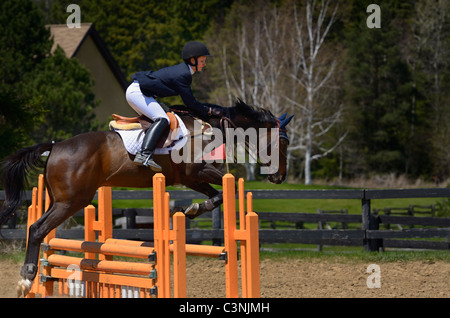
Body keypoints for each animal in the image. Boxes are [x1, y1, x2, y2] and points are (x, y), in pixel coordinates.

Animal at [0, 99, 296, 296]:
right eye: (284, 142)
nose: (280, 177)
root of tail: (54, 146)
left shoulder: (190, 178)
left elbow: (218, 195)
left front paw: (193, 209)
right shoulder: (197, 172)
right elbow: (227, 189)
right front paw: (191, 209)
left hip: (59, 200)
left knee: (38, 230)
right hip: (70, 202)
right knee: (37, 229)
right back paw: (27, 278)